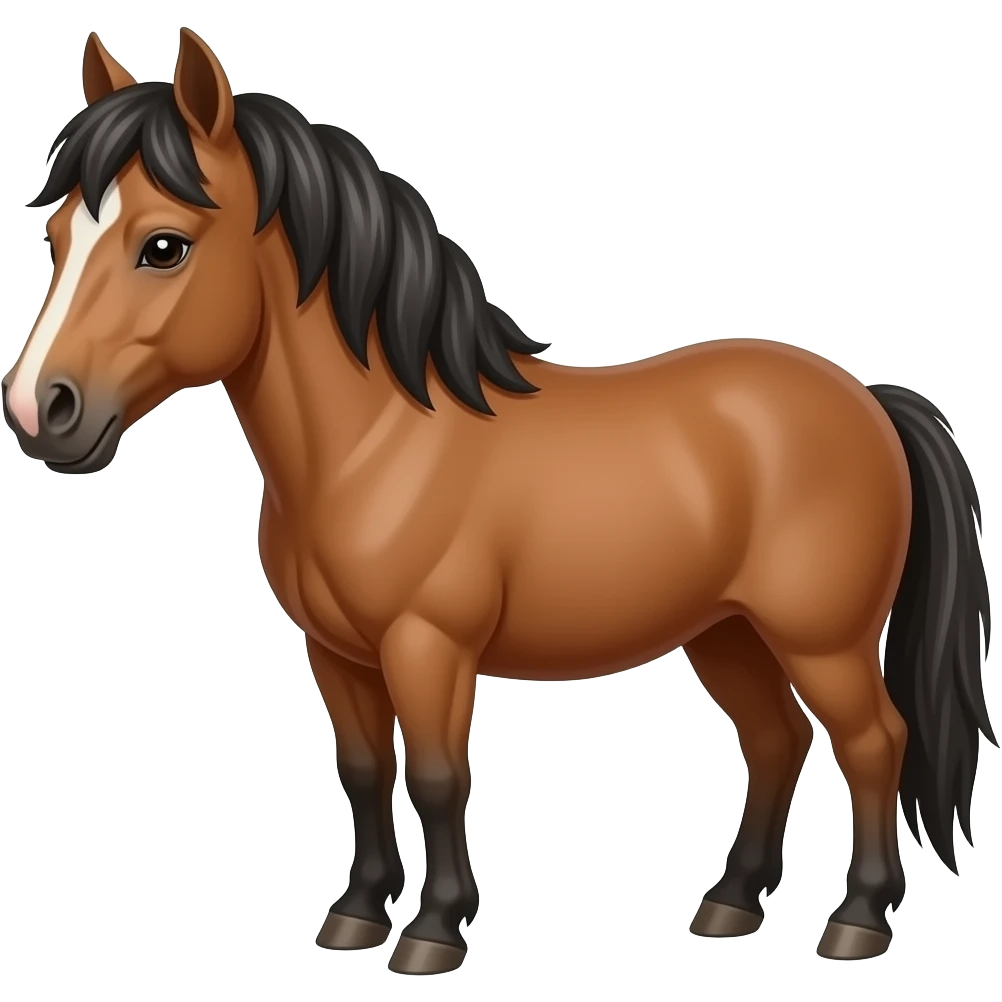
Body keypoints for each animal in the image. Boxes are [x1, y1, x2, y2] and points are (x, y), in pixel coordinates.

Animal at [6, 27, 994, 975]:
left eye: (163, 246)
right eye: (57, 241)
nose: (39, 409)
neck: (379, 441)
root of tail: (868, 397)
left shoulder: (428, 646)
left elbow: (441, 777)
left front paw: (434, 932)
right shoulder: (337, 653)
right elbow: (365, 772)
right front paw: (356, 916)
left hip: (821, 639)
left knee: (875, 743)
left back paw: (856, 922)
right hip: (727, 633)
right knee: (777, 742)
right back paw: (728, 905)